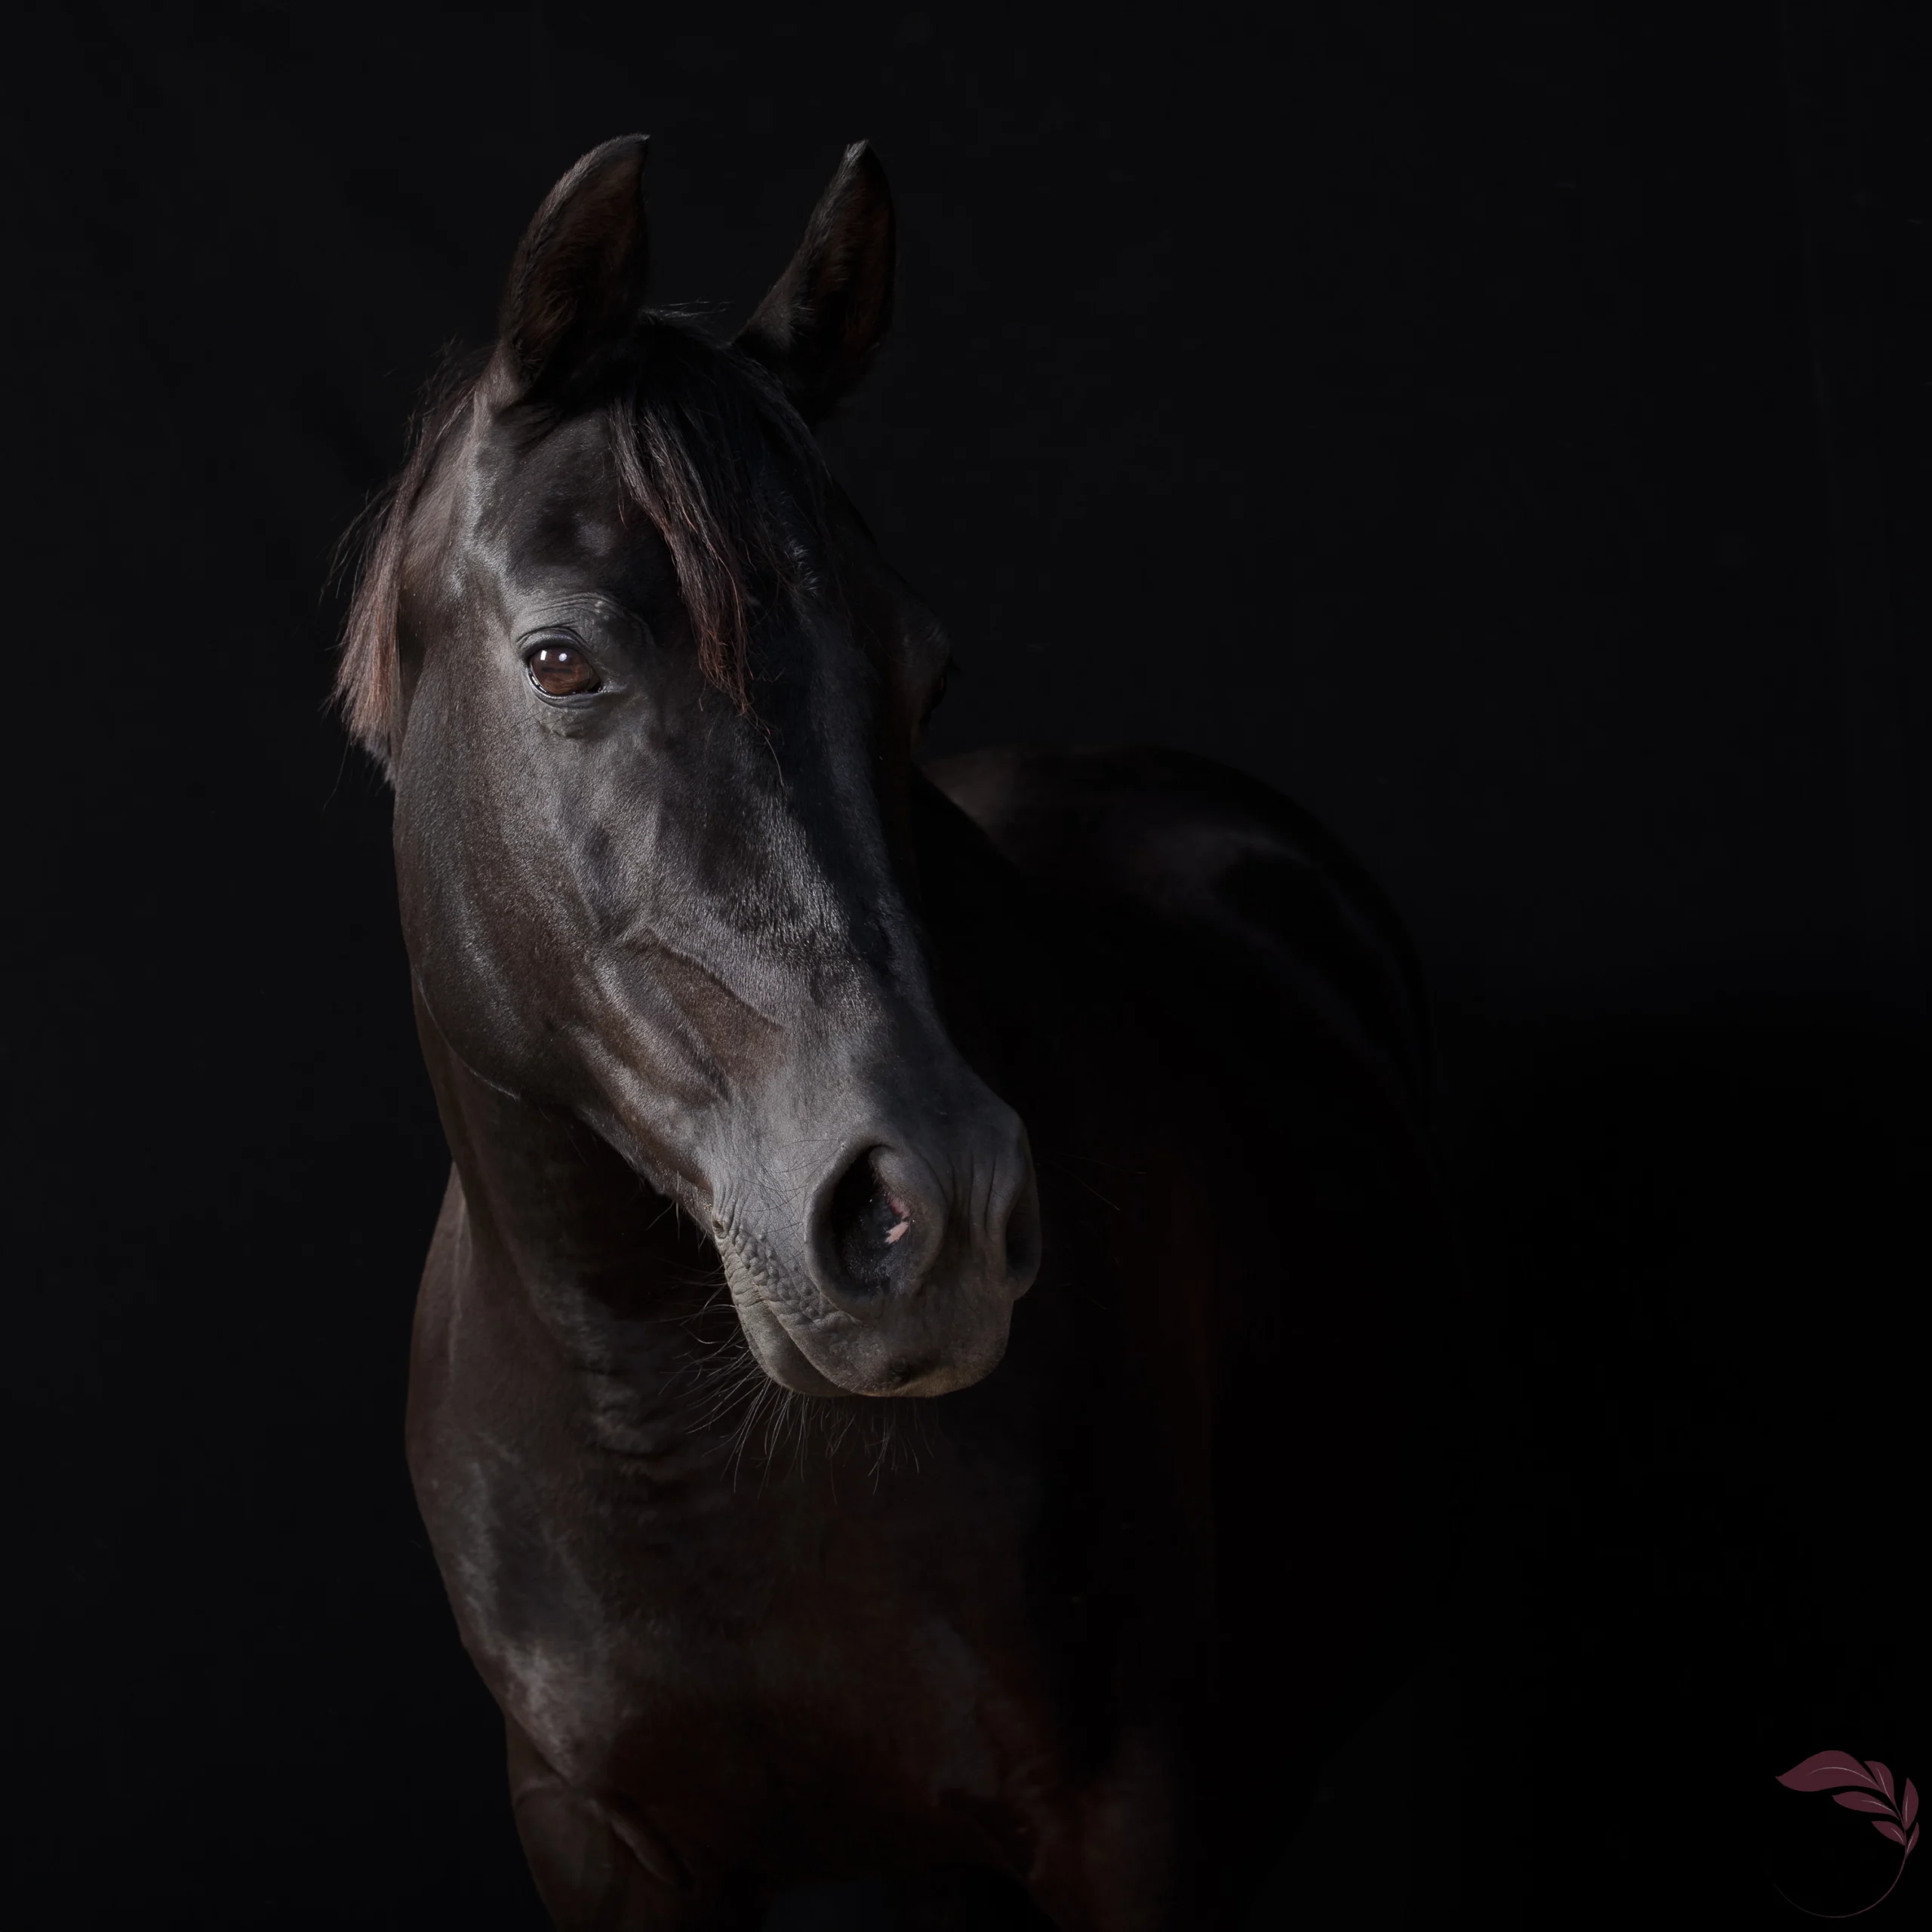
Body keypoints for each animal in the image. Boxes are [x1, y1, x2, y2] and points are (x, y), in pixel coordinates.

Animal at [338, 135, 1449, 1930]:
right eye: (560, 658)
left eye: (924, 671)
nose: (936, 1212)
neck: (681, 1435)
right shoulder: (593, 1836)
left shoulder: (1130, 1818)